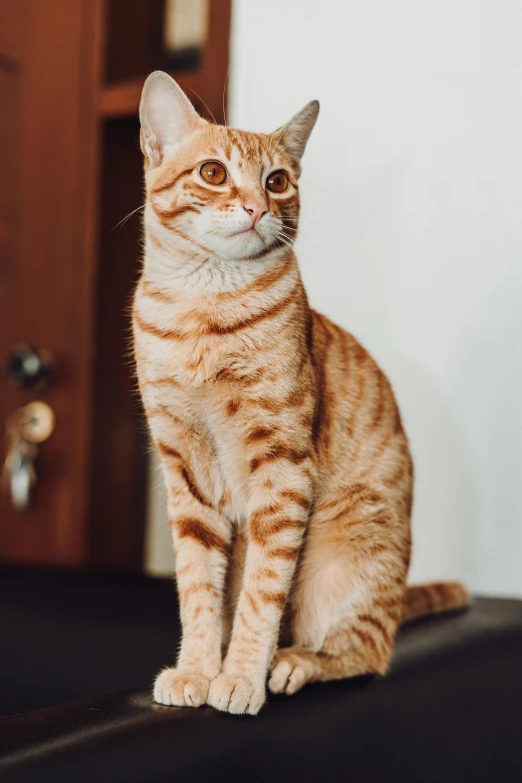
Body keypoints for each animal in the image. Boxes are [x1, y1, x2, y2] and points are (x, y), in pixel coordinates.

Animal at [133, 72, 468, 716]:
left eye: (278, 181)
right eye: (214, 172)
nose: (259, 207)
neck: (201, 312)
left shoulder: (282, 467)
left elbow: (262, 591)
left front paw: (240, 676)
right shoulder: (184, 470)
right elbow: (198, 586)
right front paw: (197, 670)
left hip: (345, 557)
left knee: (365, 651)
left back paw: (294, 663)